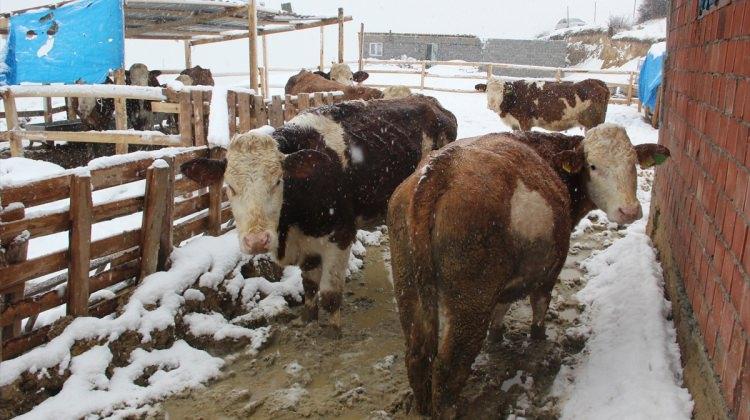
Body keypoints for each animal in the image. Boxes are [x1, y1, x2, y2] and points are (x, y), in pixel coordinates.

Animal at [181, 94, 458, 334]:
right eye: (230, 187)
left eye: (278, 181)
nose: (257, 241)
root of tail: (431, 103)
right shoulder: (306, 242)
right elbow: (310, 287)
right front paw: (308, 319)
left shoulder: (341, 235)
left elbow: (329, 294)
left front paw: (333, 331)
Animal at [388, 123, 668, 418]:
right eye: (593, 166)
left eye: (633, 162)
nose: (630, 210)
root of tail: (439, 171)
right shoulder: (551, 267)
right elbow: (540, 304)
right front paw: (538, 336)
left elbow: (501, 306)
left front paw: (497, 335)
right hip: (470, 302)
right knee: (448, 368)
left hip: (408, 288)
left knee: (417, 355)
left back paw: (422, 407)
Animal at [478, 78, 612, 131]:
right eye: (487, 90)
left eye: (502, 91)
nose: (492, 105)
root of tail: (597, 82)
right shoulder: (514, 125)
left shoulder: (525, 123)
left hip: (593, 123)